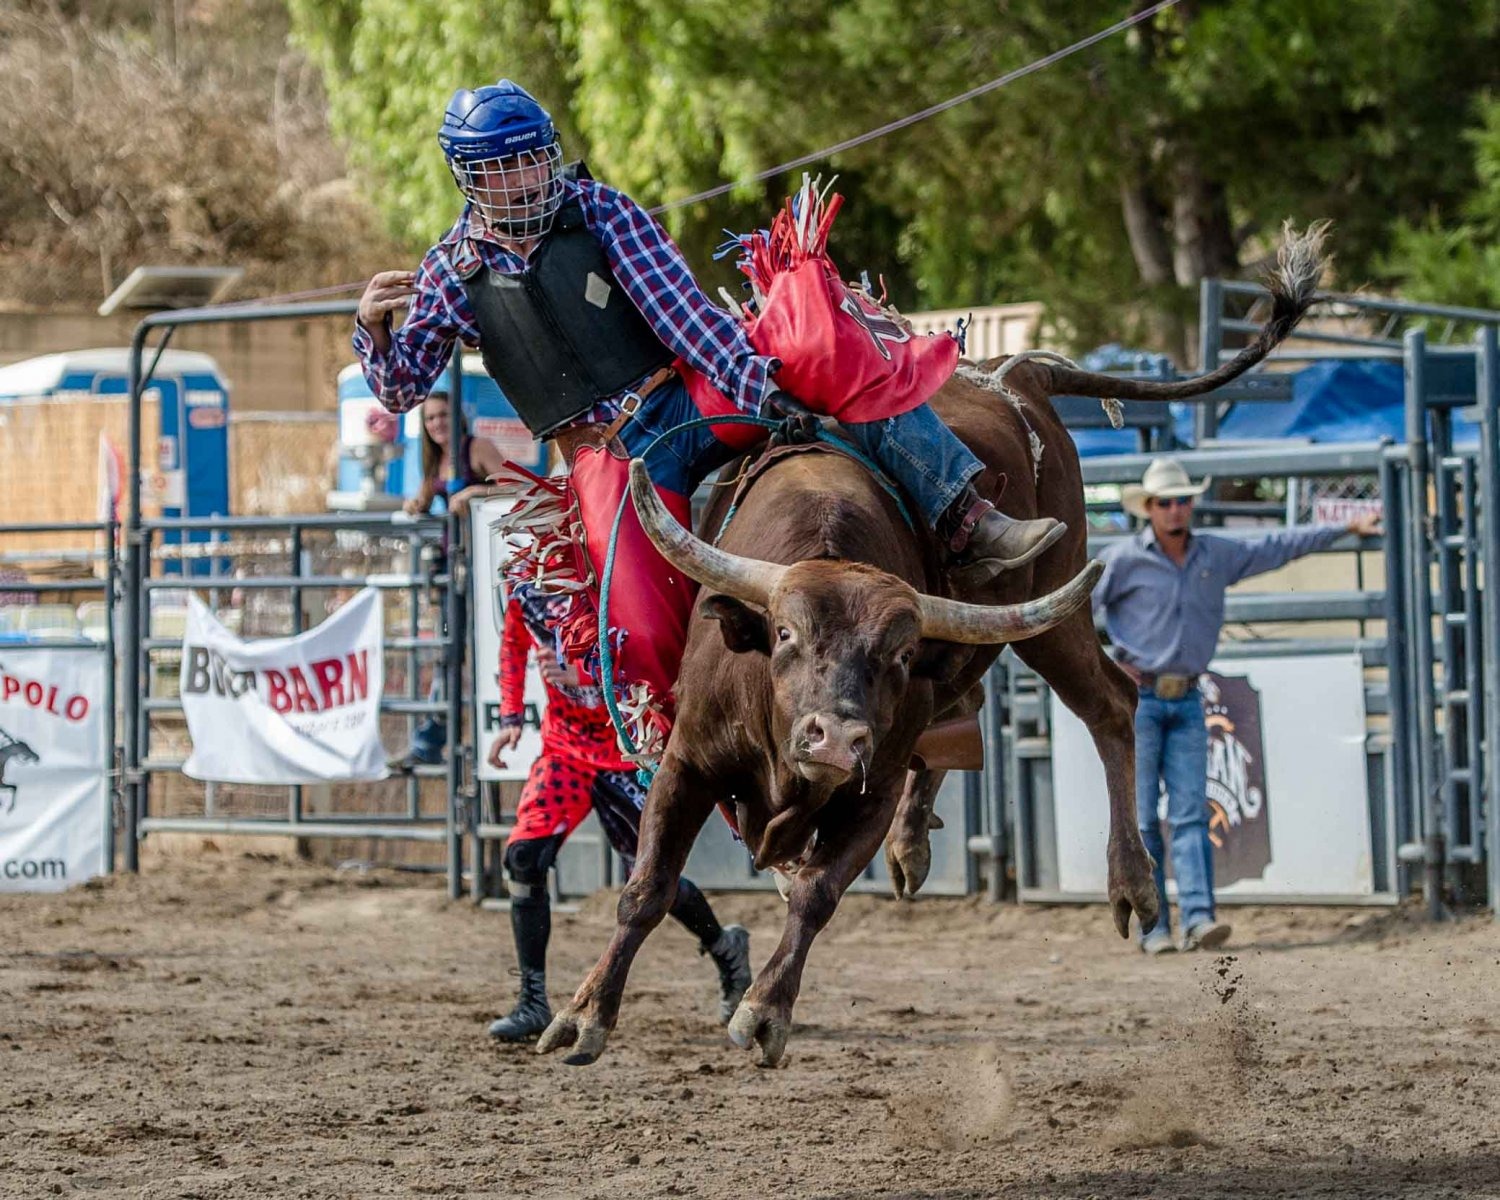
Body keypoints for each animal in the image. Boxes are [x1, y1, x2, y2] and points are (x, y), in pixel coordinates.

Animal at [540, 220, 1326, 1062]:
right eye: (784, 633)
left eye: (895, 656)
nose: (835, 737)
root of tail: (1016, 374)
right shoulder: (687, 759)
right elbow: (647, 888)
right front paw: (585, 1013)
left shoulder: (874, 781)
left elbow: (817, 893)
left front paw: (766, 1009)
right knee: (973, 706)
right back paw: (916, 847)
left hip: (1055, 610)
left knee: (1112, 704)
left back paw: (1132, 883)